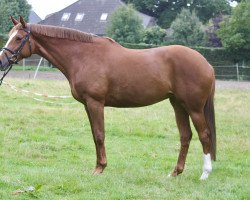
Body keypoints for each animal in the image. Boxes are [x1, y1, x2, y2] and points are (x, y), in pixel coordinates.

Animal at [0, 17, 215, 180]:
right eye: (9, 36)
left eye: (18, 38)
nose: (2, 61)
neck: (83, 56)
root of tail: (206, 63)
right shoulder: (87, 105)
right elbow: (95, 135)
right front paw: (98, 166)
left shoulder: (95, 103)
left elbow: (99, 135)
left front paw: (100, 168)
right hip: (178, 105)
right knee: (185, 136)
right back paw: (175, 172)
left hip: (194, 108)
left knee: (204, 135)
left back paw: (205, 174)